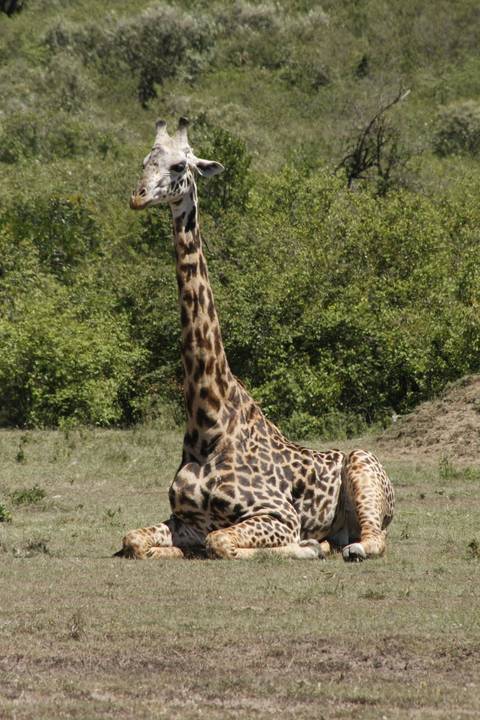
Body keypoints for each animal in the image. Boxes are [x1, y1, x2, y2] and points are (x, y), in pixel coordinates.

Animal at [116, 117, 395, 561]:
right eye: (145, 162)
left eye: (179, 166)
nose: (138, 197)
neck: (208, 421)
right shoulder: (187, 519)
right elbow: (133, 539)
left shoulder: (278, 514)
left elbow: (221, 543)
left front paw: (304, 548)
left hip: (364, 466)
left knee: (371, 541)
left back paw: (330, 547)